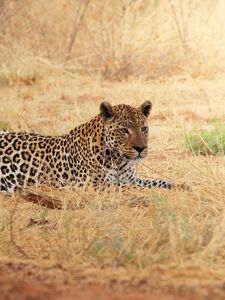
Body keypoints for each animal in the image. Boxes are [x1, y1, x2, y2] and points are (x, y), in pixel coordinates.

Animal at [0, 101, 172, 195]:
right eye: (124, 130)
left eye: (143, 129)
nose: (140, 148)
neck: (118, 159)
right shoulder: (91, 184)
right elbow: (127, 186)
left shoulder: (131, 178)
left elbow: (156, 182)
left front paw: (174, 185)